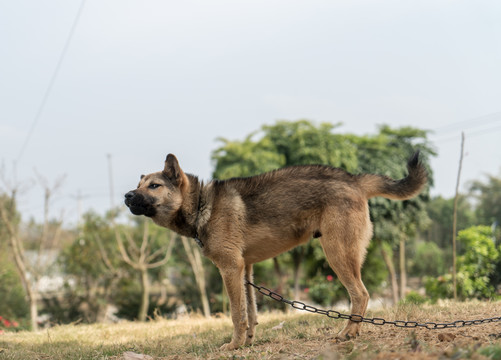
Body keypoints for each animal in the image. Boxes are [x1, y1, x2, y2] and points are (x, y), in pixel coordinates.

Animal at [125, 151, 426, 348]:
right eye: (138, 185)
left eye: (154, 186)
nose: (127, 195)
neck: (201, 204)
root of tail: (352, 179)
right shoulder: (245, 269)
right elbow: (250, 313)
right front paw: (246, 343)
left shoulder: (230, 269)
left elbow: (236, 314)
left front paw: (233, 346)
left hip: (336, 253)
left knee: (361, 295)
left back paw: (348, 333)